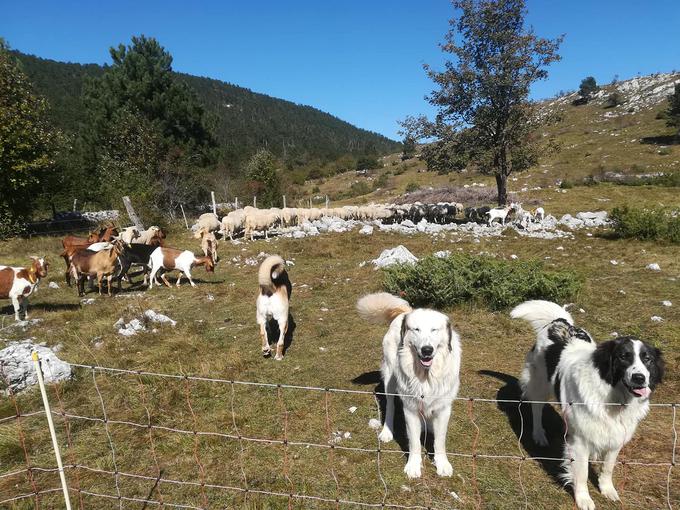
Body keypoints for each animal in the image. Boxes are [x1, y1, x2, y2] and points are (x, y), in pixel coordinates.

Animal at [356, 290, 462, 478]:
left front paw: (442, 464)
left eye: (434, 330)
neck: (426, 375)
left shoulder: (443, 409)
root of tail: (405, 312)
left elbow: (440, 441)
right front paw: (413, 466)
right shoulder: (410, 409)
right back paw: (387, 431)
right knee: (390, 406)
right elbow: (414, 442)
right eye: (416, 330)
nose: (427, 350)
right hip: (390, 379)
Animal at [510, 298, 664, 510]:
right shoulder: (579, 442)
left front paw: (607, 489)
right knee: (537, 408)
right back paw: (539, 434)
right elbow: (581, 473)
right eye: (623, 357)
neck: (612, 397)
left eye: (647, 359)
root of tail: (560, 322)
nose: (640, 378)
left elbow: (608, 467)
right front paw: (584, 499)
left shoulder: (616, 436)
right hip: (539, 382)